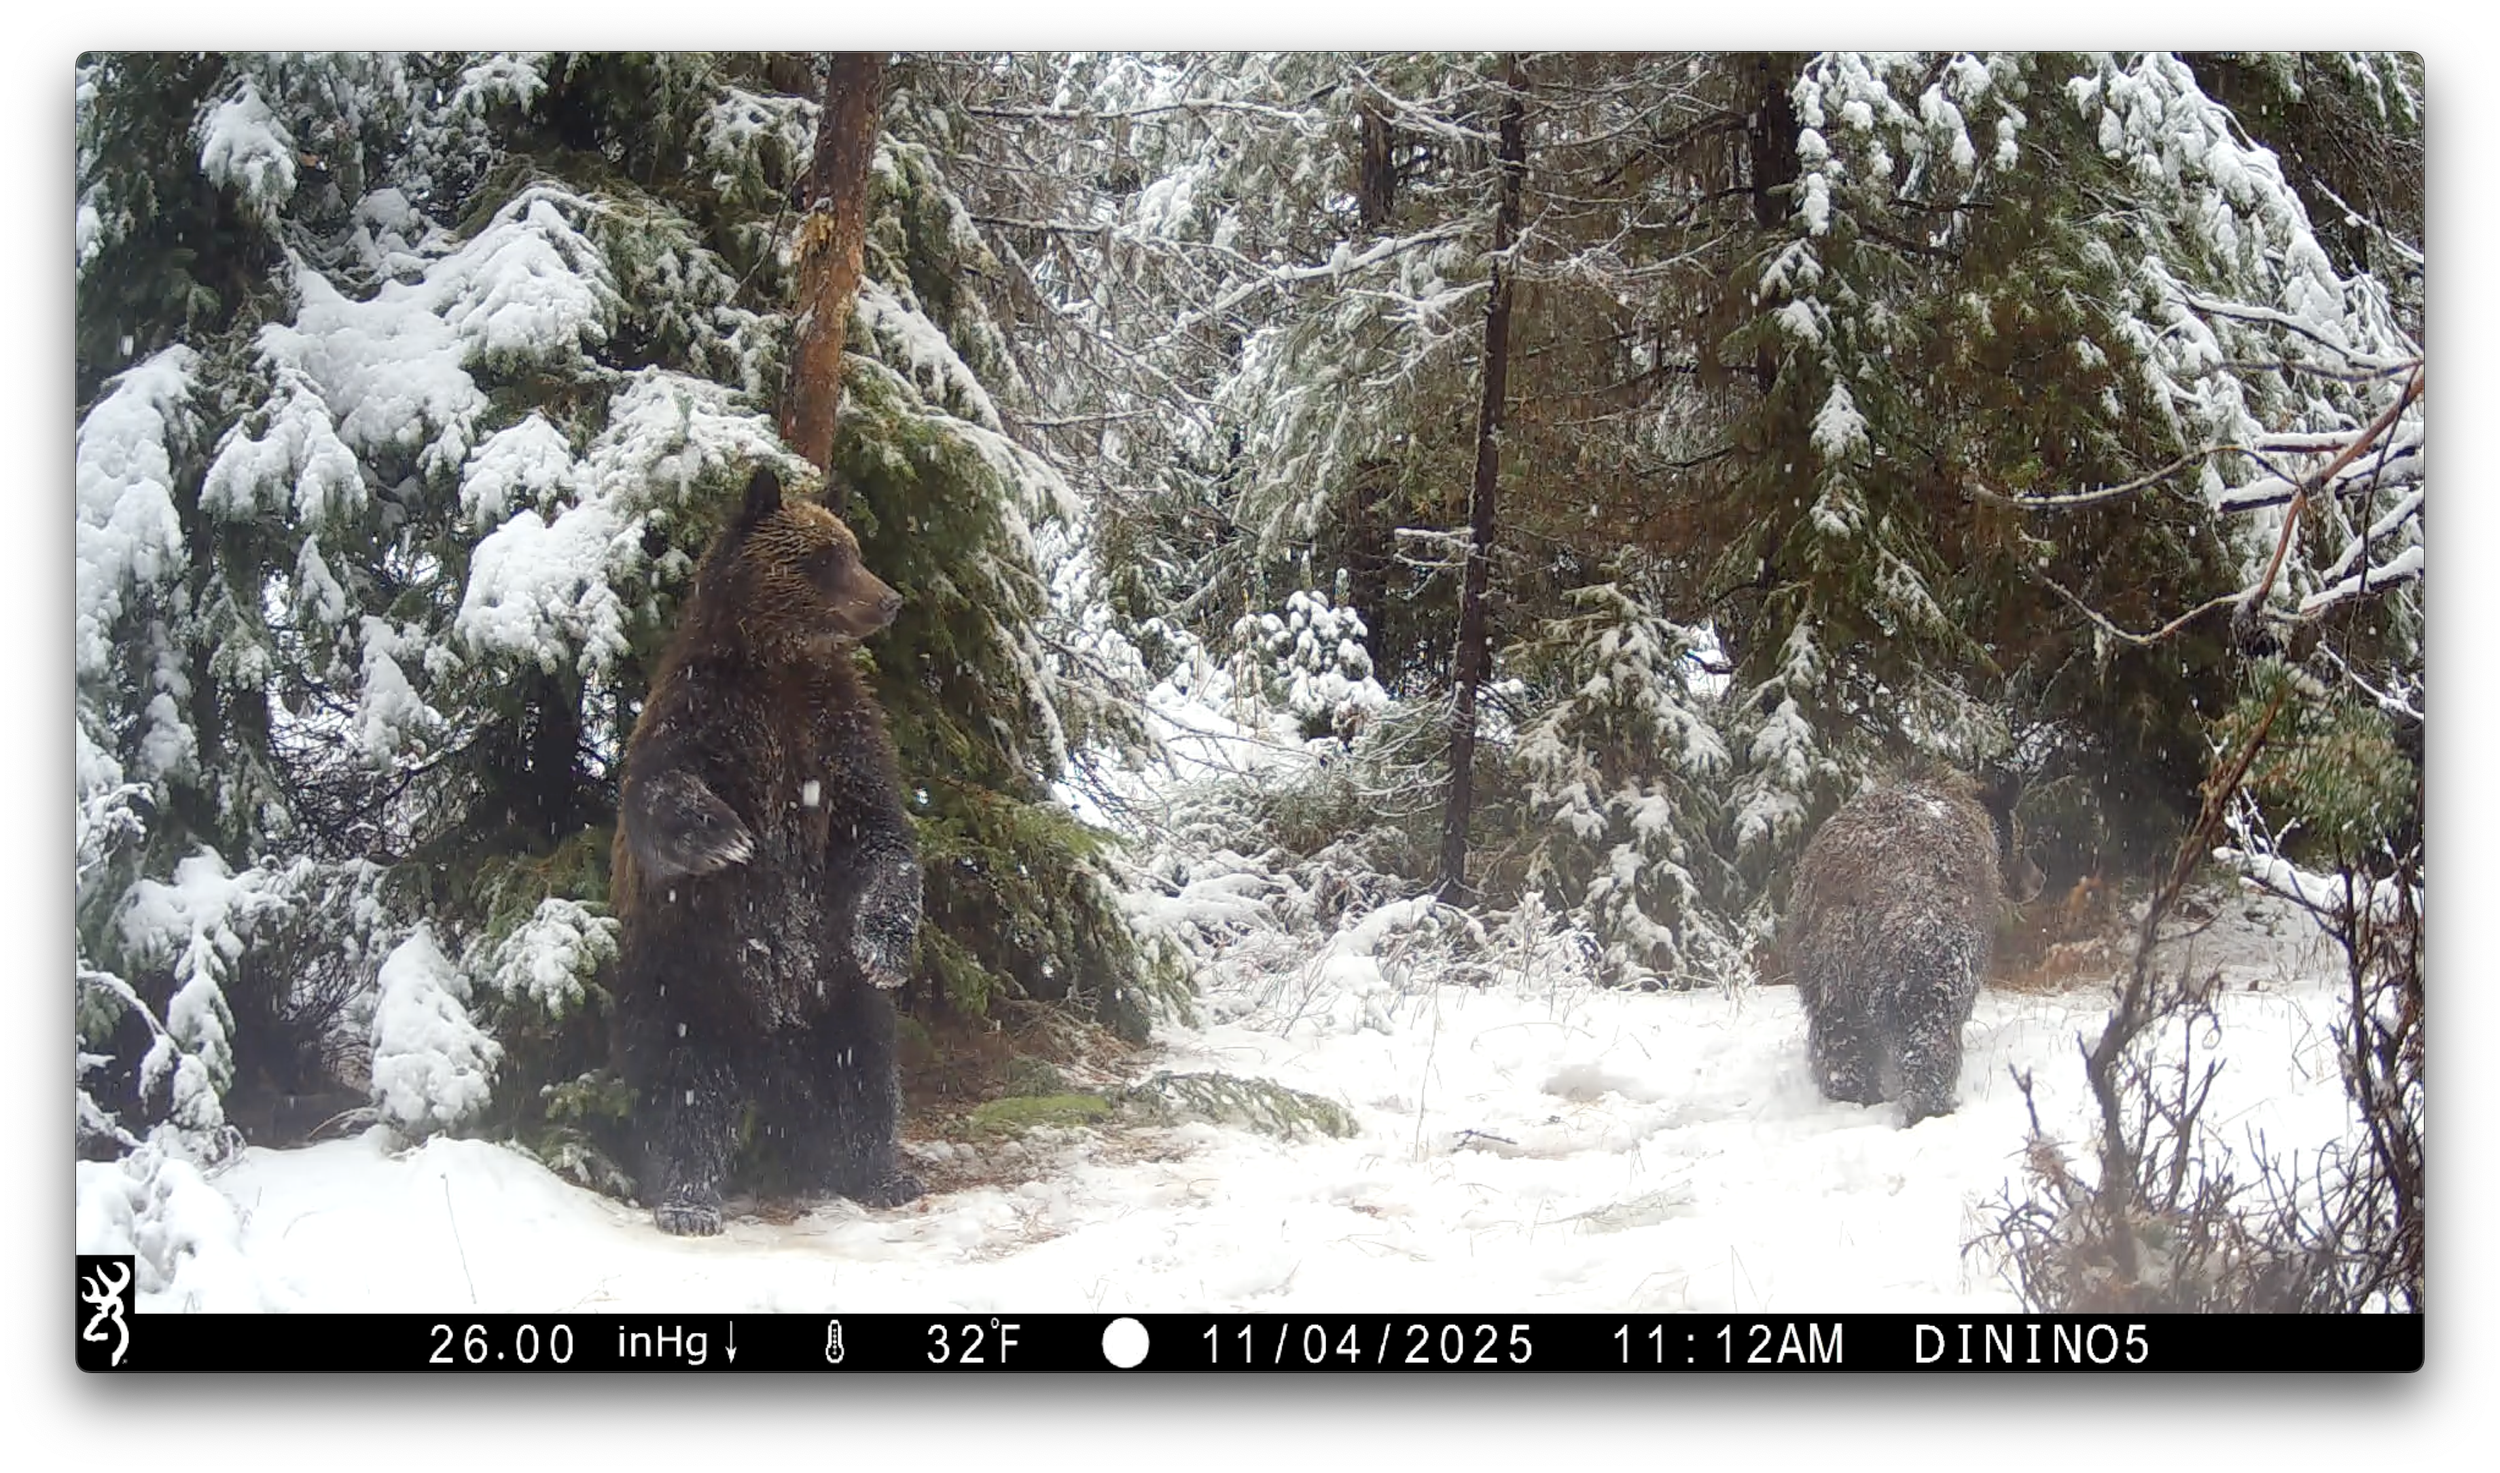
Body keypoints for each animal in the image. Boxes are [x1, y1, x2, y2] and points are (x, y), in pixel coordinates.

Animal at [609, 467, 924, 1235]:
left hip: (834, 991)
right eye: (825, 557)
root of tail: (770, 1041)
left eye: (853, 547)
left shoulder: (839, 733)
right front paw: (725, 835)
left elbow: (881, 833)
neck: (778, 665)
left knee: (865, 1073)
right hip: (684, 975)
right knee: (682, 1088)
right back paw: (687, 1198)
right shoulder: (703, 714)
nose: (889, 598)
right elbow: (658, 789)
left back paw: (882, 1172)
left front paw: (886, 945)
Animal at [1782, 769, 2034, 1125]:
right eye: (2024, 842)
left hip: (1820, 958)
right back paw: (1932, 1104)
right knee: (1929, 1026)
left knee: (1838, 1034)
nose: (2039, 879)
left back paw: (1853, 1094)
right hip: (1926, 944)